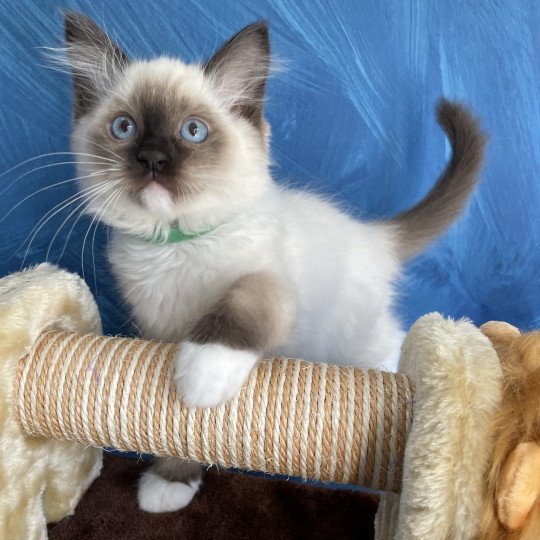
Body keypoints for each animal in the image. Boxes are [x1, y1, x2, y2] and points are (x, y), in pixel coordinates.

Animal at [62, 10, 486, 512]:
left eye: (193, 131)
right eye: (124, 128)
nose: (152, 159)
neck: (176, 242)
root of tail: (373, 236)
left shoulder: (269, 284)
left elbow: (238, 307)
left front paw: (203, 374)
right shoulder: (160, 331)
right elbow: (175, 426)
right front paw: (170, 484)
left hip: (351, 335)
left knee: (394, 343)